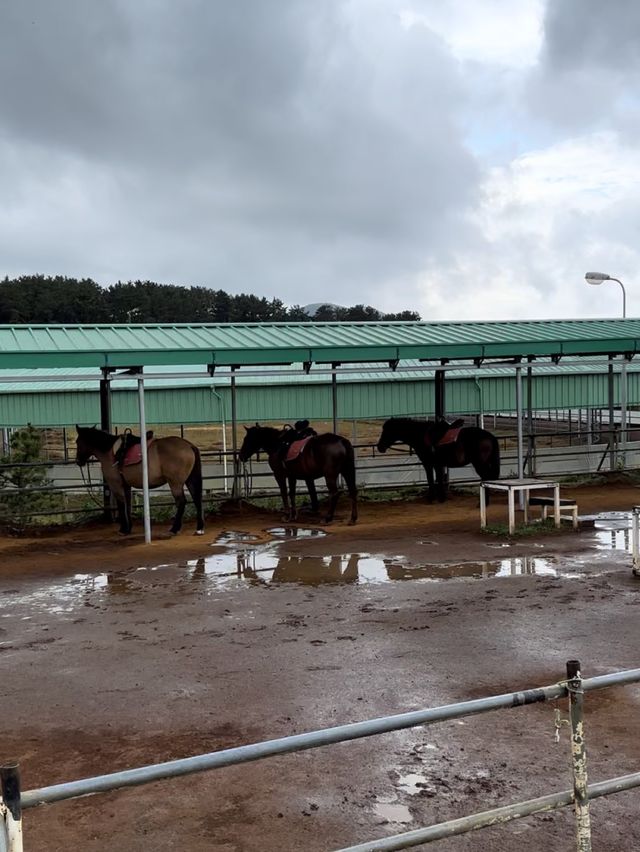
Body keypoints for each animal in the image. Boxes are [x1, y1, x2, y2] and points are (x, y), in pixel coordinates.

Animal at [74, 426, 205, 540]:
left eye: (77, 442)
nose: (78, 461)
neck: (110, 452)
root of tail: (189, 445)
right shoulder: (126, 486)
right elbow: (128, 505)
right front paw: (128, 528)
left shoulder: (115, 485)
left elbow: (121, 505)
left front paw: (123, 529)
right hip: (189, 480)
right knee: (197, 500)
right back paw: (199, 528)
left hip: (175, 483)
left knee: (181, 502)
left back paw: (174, 529)